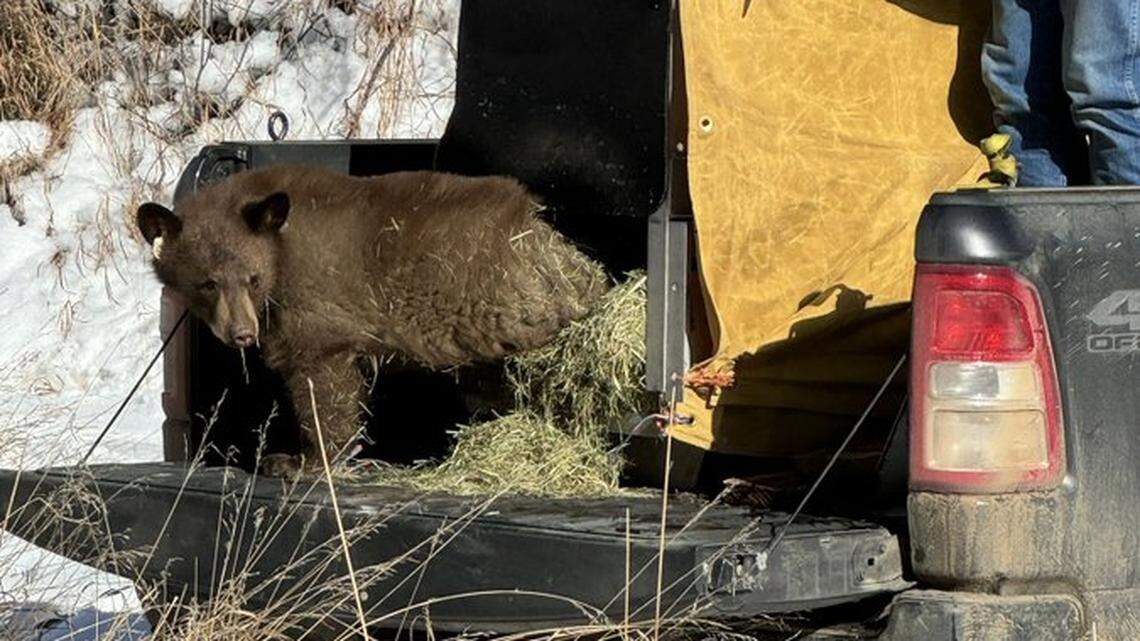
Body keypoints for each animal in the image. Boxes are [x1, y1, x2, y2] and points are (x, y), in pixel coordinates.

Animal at [137, 165, 609, 477]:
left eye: (252, 279)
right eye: (207, 283)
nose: (242, 334)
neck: (281, 252)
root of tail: (570, 254)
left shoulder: (319, 310)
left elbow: (324, 384)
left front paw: (299, 460)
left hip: (524, 307)